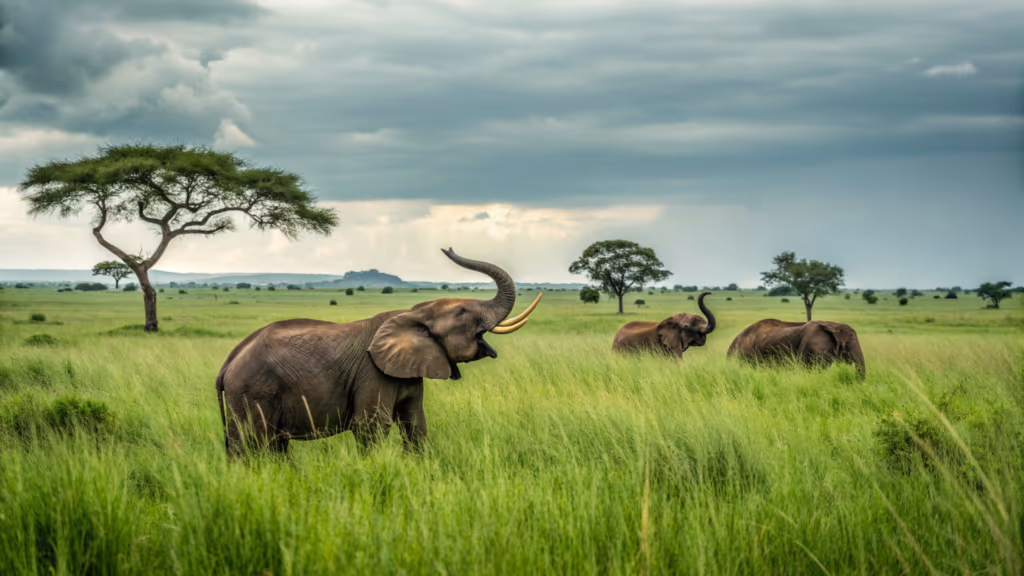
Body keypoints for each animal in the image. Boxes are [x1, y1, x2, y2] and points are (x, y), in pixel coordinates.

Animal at [215, 248, 542, 455]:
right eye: (462, 312)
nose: (447, 247)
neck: (412, 314)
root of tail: (226, 364)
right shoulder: (372, 373)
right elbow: (371, 427)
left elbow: (415, 423)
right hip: (253, 392)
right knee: (256, 443)